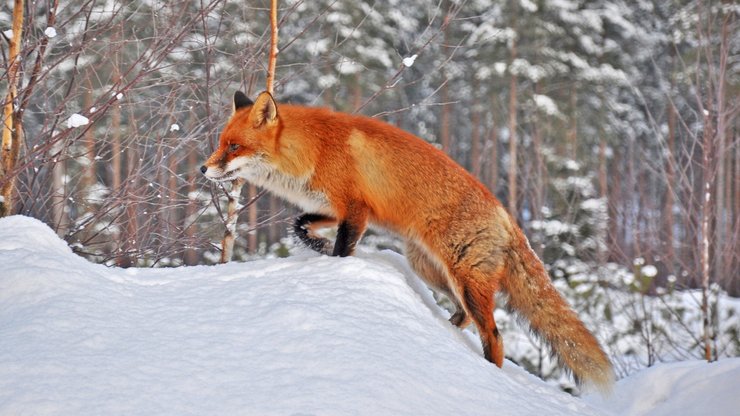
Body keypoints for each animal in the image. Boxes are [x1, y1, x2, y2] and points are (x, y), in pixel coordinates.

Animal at [199, 89, 616, 392]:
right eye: (221, 142)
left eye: (233, 147)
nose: (203, 168)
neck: (312, 150)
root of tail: (506, 216)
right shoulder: (335, 208)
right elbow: (298, 223)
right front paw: (314, 246)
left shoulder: (355, 210)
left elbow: (342, 249)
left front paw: (334, 265)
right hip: (431, 270)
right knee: (464, 318)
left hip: (465, 279)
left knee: (494, 336)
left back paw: (489, 376)